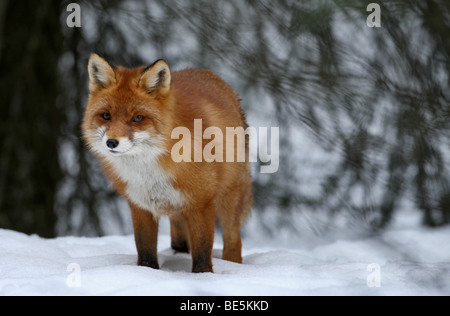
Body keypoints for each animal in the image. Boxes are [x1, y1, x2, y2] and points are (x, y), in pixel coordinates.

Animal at [82, 53, 251, 272]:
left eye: (137, 118)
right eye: (106, 115)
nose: (112, 142)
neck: (149, 171)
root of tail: (207, 73)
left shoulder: (201, 203)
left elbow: (202, 252)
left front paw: (203, 276)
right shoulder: (140, 205)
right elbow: (145, 251)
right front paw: (147, 272)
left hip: (229, 199)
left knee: (233, 241)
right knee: (179, 240)